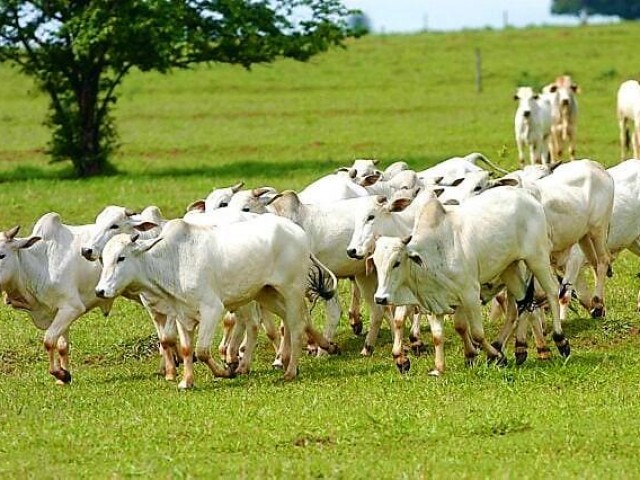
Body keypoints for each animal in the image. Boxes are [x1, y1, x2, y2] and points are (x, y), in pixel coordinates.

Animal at [0, 216, 114, 384]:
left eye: (1, 255)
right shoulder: (58, 312)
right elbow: (61, 346)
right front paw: (63, 378)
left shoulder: (72, 308)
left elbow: (49, 340)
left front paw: (61, 374)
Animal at [95, 216, 340, 388]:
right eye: (103, 260)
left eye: (121, 258)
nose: (100, 290)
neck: (173, 261)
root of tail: (298, 232)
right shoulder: (181, 314)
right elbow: (186, 349)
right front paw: (186, 381)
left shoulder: (212, 309)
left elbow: (202, 351)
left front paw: (224, 372)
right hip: (266, 293)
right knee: (292, 321)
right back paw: (326, 347)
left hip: (291, 290)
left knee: (296, 325)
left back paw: (290, 371)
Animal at [370, 189, 568, 376]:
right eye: (376, 263)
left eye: (396, 262)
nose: (379, 298)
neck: (433, 252)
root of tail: (528, 197)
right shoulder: (435, 301)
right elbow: (440, 335)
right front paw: (439, 368)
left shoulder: (469, 294)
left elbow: (477, 333)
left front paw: (496, 356)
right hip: (509, 268)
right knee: (524, 304)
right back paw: (522, 350)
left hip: (537, 258)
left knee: (551, 291)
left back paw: (560, 340)